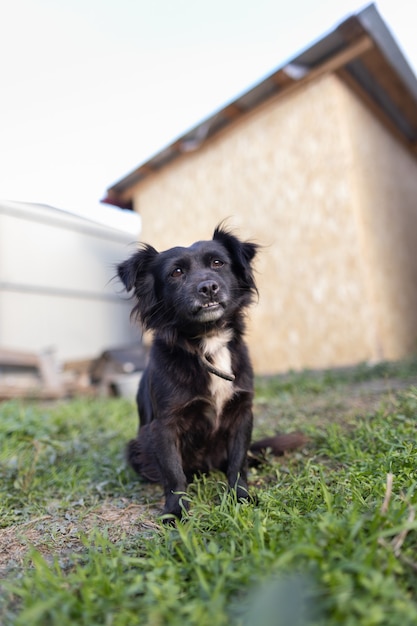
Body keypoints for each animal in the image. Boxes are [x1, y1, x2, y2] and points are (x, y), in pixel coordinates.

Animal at [118, 224, 302, 516]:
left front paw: (240, 497)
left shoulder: (241, 413)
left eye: (218, 263)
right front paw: (176, 511)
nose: (208, 287)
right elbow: (173, 473)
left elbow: (237, 463)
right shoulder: (164, 425)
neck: (209, 342)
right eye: (176, 272)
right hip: (135, 446)